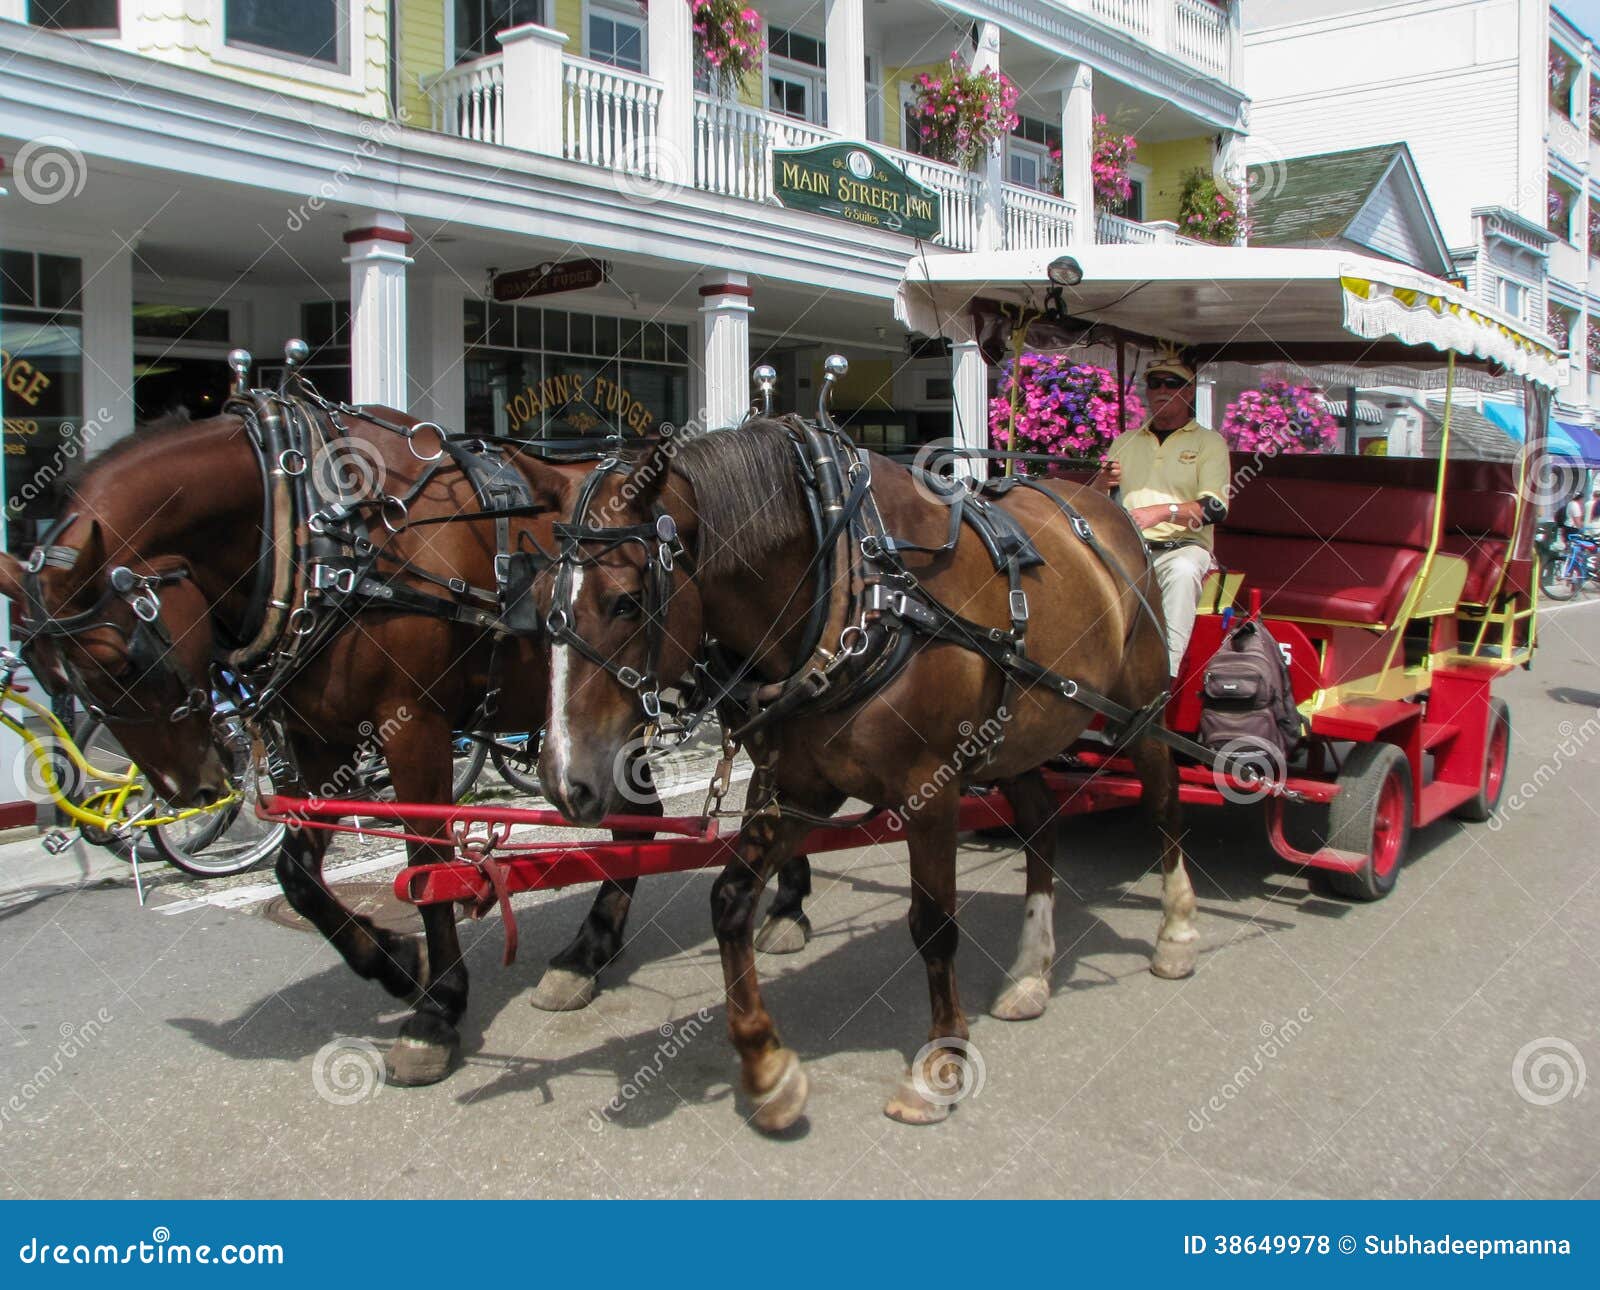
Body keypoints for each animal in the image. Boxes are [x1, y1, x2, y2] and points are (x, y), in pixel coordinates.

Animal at [0, 409, 662, 1088]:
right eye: (49, 677)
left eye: (121, 662)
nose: (190, 788)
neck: (319, 531)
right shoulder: (321, 740)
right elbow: (296, 873)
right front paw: (396, 964)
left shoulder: (414, 727)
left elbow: (427, 863)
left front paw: (437, 1011)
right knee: (641, 821)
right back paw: (586, 954)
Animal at [537, 425, 1203, 1133]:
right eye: (540, 602)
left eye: (625, 601)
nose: (563, 780)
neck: (855, 586)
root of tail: (1104, 505)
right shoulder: (797, 789)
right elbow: (730, 900)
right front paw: (767, 1067)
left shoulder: (931, 792)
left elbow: (933, 924)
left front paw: (939, 1066)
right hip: (1021, 733)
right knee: (1041, 823)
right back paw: (1030, 971)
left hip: (1141, 710)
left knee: (1164, 803)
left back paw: (1176, 934)